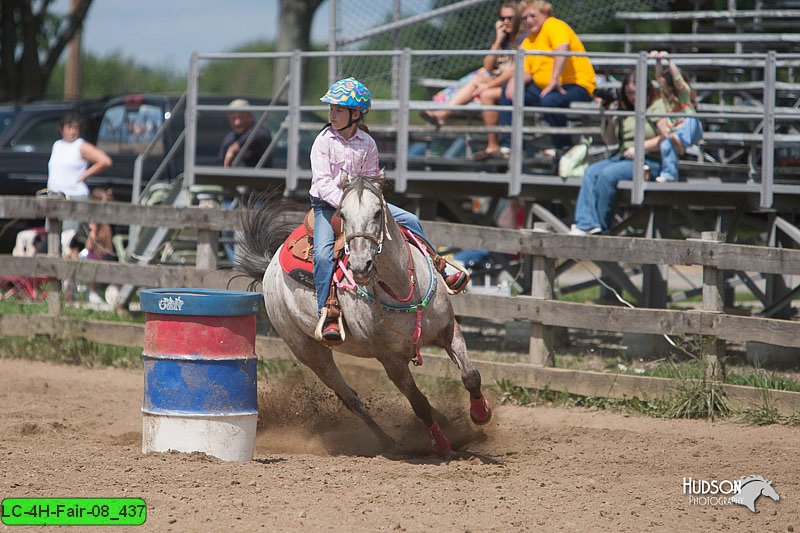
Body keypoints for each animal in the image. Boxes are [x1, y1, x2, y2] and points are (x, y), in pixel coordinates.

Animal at [234, 172, 490, 456]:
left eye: (378, 213)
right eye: (342, 215)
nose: (359, 266)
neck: (403, 288)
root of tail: (270, 264)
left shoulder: (448, 331)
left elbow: (470, 376)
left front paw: (481, 414)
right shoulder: (390, 359)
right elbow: (419, 402)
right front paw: (442, 445)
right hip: (309, 351)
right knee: (350, 398)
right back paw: (389, 442)